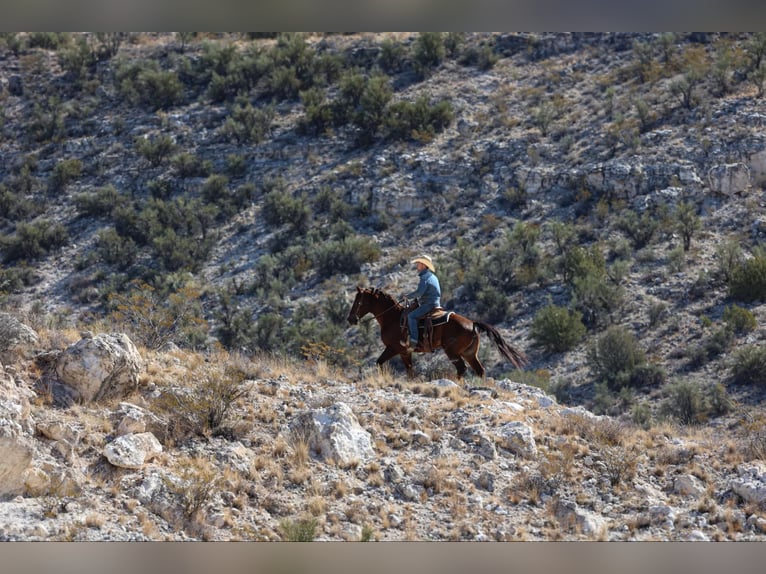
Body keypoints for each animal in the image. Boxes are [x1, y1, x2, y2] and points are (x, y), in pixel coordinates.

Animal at [348, 286, 528, 378]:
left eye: (358, 301)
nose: (351, 319)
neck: (392, 318)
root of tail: (472, 324)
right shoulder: (405, 352)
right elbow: (410, 371)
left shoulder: (394, 348)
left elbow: (379, 362)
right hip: (470, 353)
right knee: (479, 370)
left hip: (453, 352)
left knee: (462, 369)